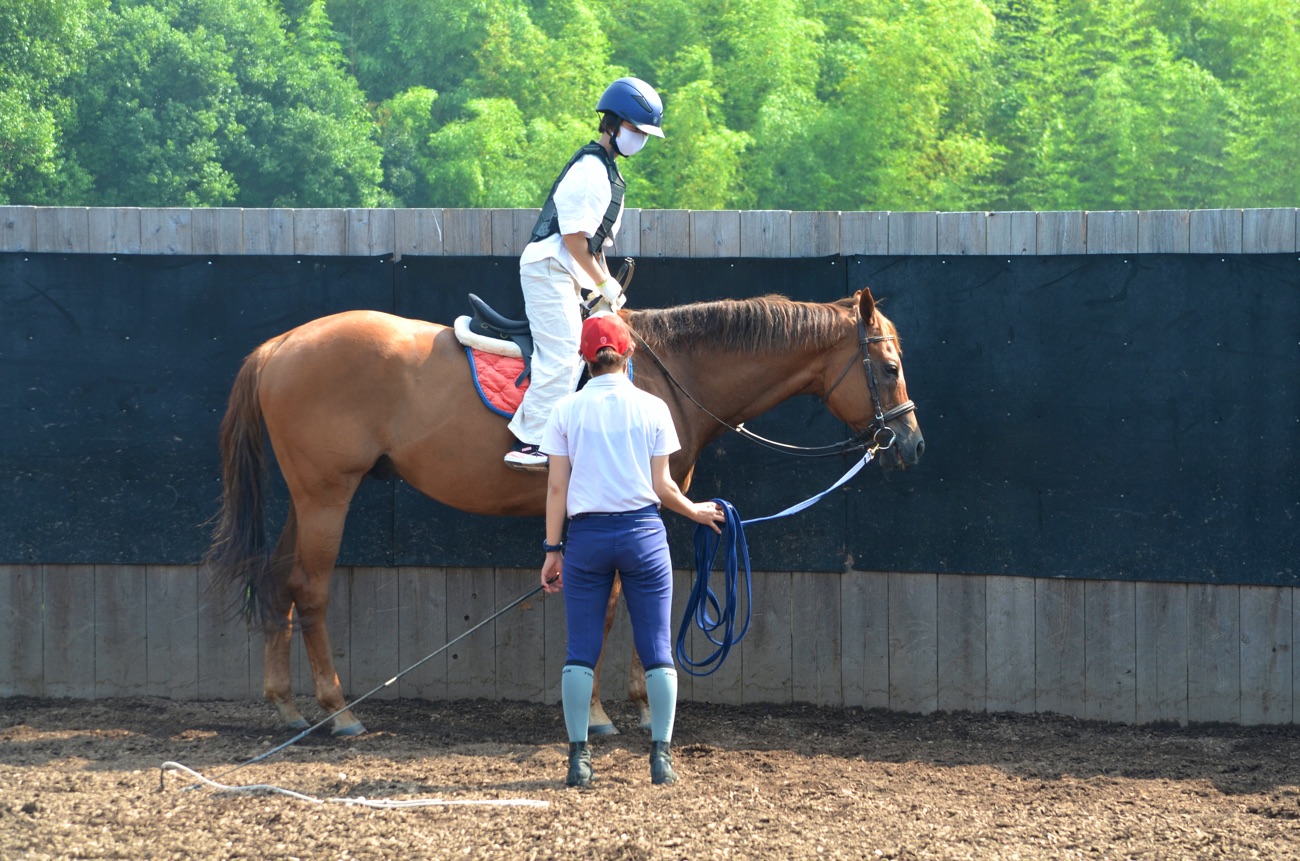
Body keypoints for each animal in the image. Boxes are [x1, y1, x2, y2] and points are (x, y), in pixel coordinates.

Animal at [205, 288, 925, 733]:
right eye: (890, 366)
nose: (910, 444)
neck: (668, 374)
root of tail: (281, 346)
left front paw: (638, 701)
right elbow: (617, 599)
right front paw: (616, 710)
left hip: (306, 499)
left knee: (278, 582)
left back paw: (287, 706)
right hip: (327, 494)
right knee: (311, 590)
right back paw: (339, 711)